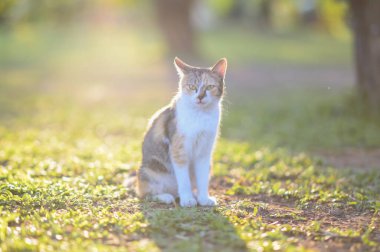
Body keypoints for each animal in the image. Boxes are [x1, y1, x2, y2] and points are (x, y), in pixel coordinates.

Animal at [136, 57, 226, 207]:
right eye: (192, 86)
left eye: (209, 87)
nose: (200, 97)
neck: (200, 115)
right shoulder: (178, 150)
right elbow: (183, 180)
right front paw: (187, 199)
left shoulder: (204, 151)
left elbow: (202, 178)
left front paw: (203, 198)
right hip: (150, 170)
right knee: (145, 193)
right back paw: (166, 197)